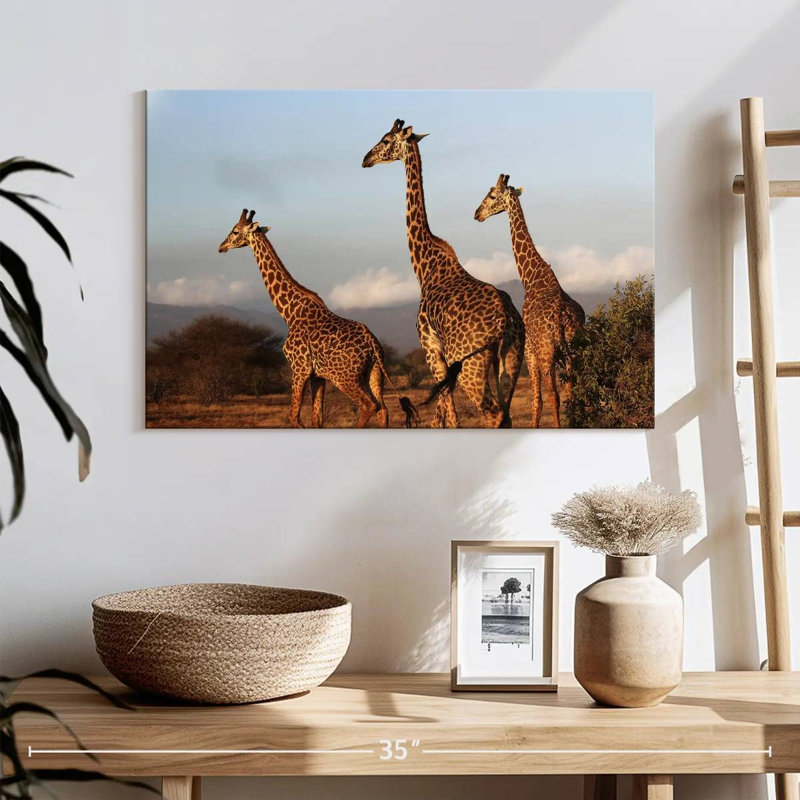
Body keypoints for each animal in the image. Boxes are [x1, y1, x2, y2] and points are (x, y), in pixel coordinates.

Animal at [219, 209, 418, 429]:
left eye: (235, 231)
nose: (221, 247)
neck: (289, 312)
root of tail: (373, 344)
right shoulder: (318, 376)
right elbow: (317, 419)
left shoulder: (299, 368)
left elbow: (294, 418)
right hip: (374, 372)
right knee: (383, 410)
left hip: (345, 377)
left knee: (368, 405)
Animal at [362, 120, 524, 428]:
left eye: (386, 139)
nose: (366, 159)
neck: (425, 268)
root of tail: (505, 320)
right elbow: (443, 415)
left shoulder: (431, 349)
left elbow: (446, 416)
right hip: (511, 356)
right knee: (506, 415)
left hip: (471, 364)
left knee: (493, 413)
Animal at [474, 174, 585, 428]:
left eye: (492, 195)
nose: (477, 214)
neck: (532, 277)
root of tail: (562, 316)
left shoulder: (530, 351)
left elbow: (537, 402)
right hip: (573, 350)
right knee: (575, 390)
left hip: (547, 353)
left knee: (554, 396)